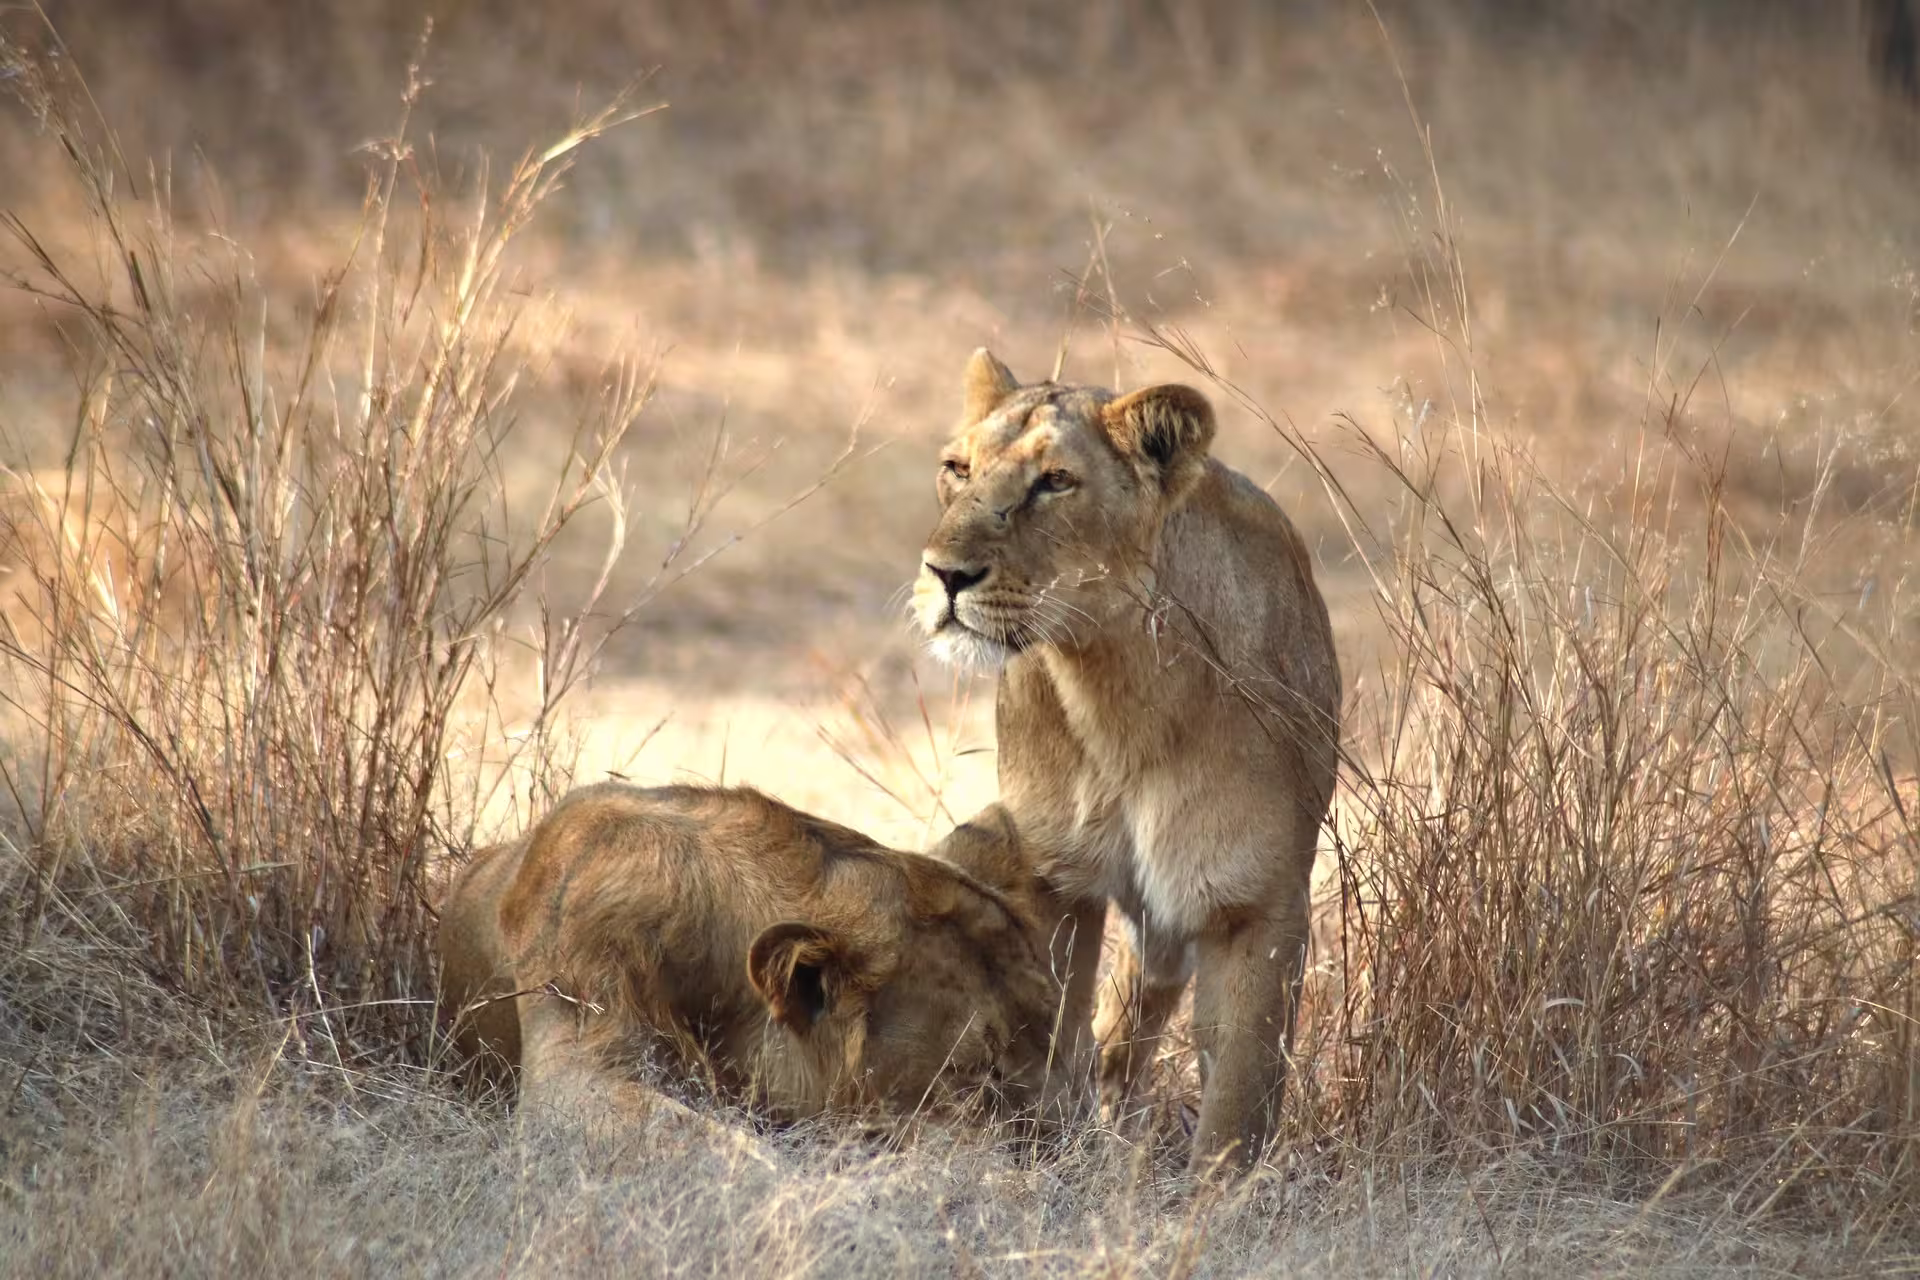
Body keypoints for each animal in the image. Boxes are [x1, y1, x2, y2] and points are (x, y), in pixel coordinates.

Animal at [911, 349, 1341, 1176]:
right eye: (956, 468)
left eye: (1055, 481)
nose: (945, 575)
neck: (1117, 693)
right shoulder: (1054, 872)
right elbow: (1055, 1035)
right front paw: (1054, 1159)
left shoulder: (1258, 900)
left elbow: (1239, 1095)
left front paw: (1215, 1198)